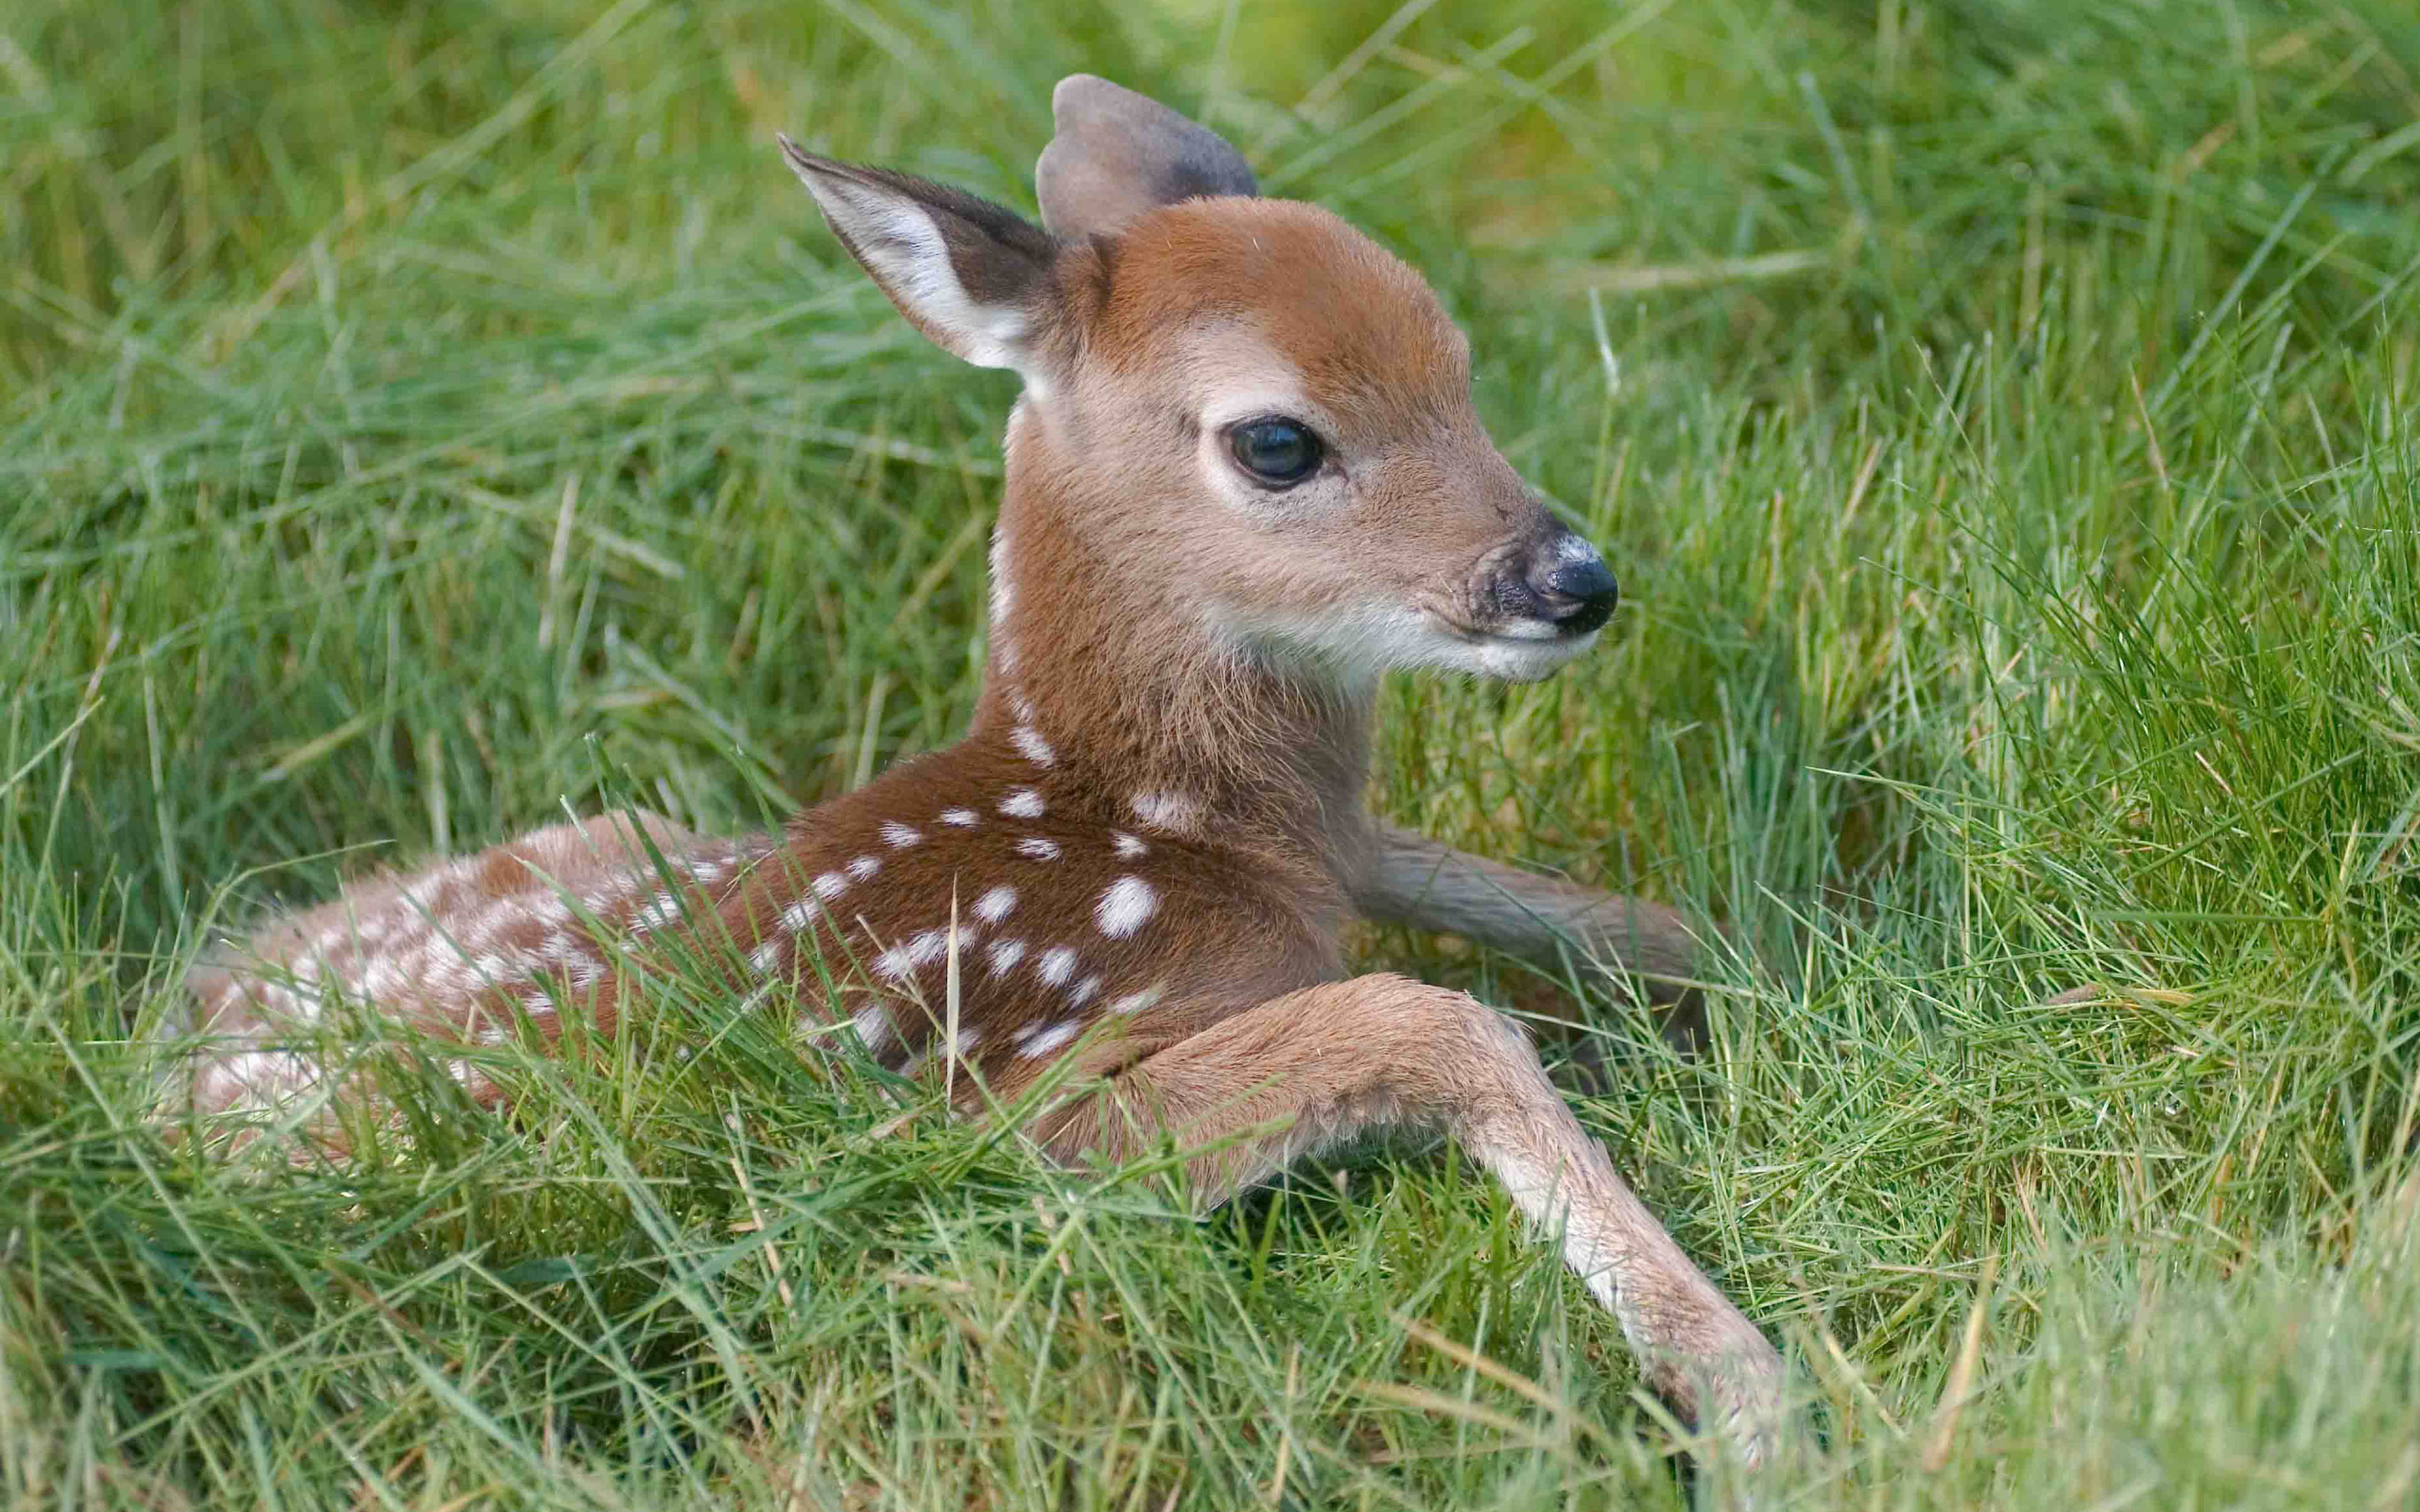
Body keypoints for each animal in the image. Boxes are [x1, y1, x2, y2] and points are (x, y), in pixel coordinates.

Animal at [166, 76, 1787, 1466]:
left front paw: (1767, 962)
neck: (1136, 815)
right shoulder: (1004, 1121)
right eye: (1278, 441)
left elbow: (1531, 891)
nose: (1574, 581)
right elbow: (1427, 1014)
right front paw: (1744, 1391)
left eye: (1461, 368)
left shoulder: (1334, 850)